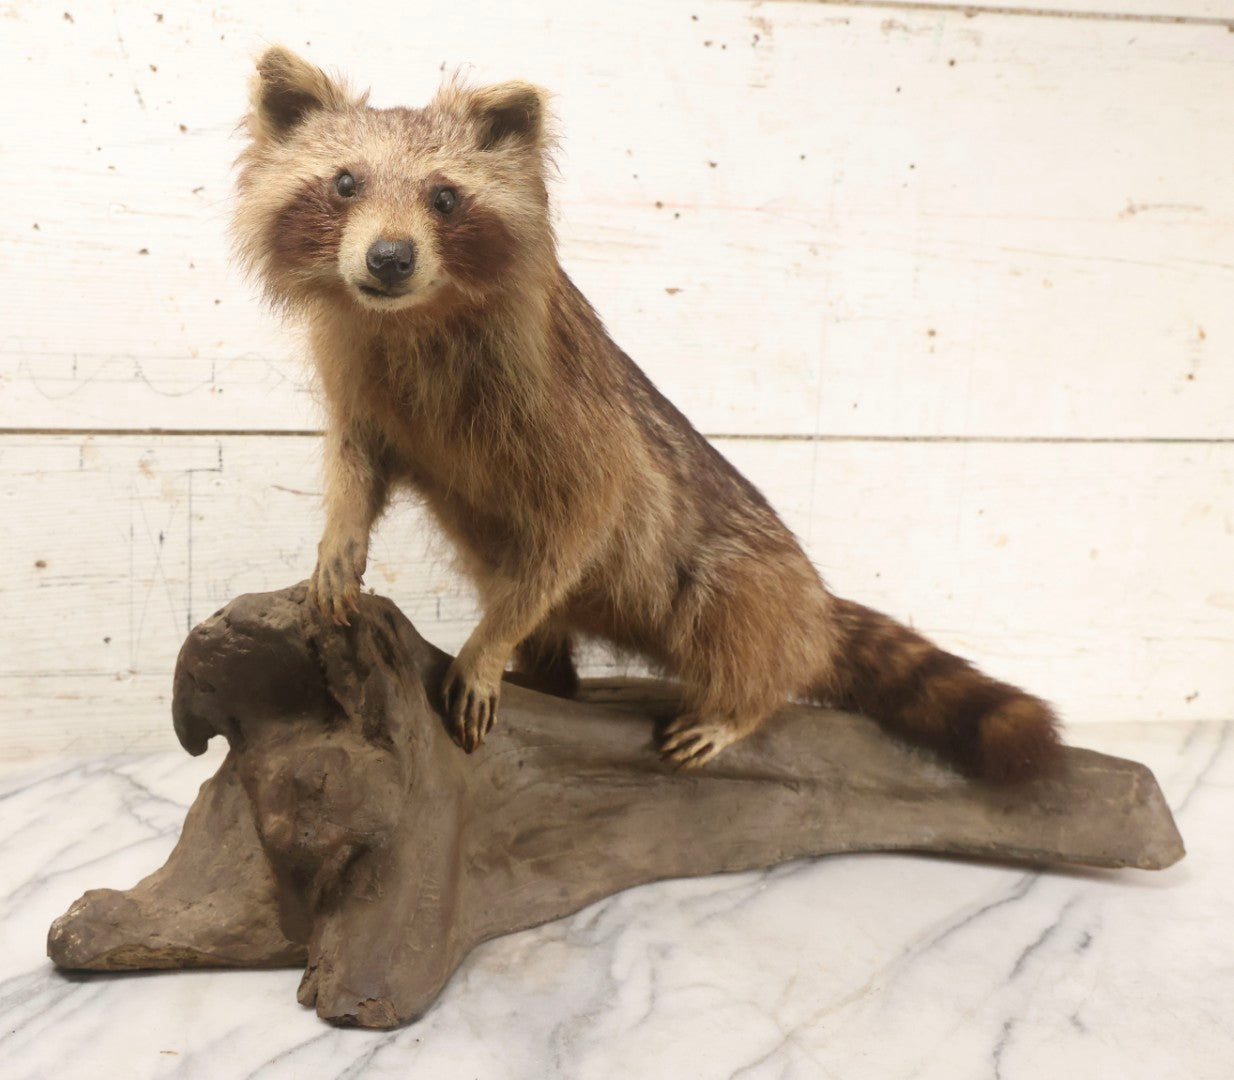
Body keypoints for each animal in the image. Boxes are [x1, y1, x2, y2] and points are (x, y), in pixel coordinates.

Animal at [233, 47, 1060, 780]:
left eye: (444, 198)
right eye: (345, 183)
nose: (389, 257)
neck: (412, 319)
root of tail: (816, 607)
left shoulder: (566, 416)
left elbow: (580, 526)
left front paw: (488, 645)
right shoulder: (361, 373)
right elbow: (357, 460)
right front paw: (339, 537)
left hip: (751, 579)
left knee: (737, 633)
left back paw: (735, 705)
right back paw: (551, 675)